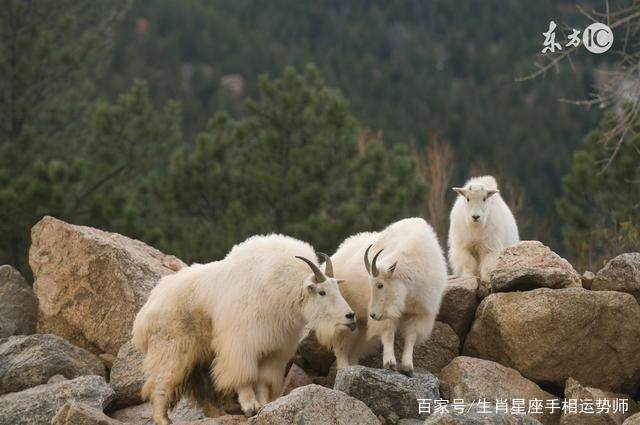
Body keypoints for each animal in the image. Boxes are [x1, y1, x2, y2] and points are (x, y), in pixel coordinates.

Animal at [132, 234, 356, 422]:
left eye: (337, 288)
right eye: (322, 292)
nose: (350, 317)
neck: (279, 289)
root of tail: (146, 311)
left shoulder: (273, 348)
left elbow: (264, 380)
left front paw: (264, 405)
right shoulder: (241, 343)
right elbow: (243, 376)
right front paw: (250, 407)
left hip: (200, 357)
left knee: (202, 390)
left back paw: (217, 414)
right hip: (172, 347)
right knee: (161, 382)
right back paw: (163, 419)